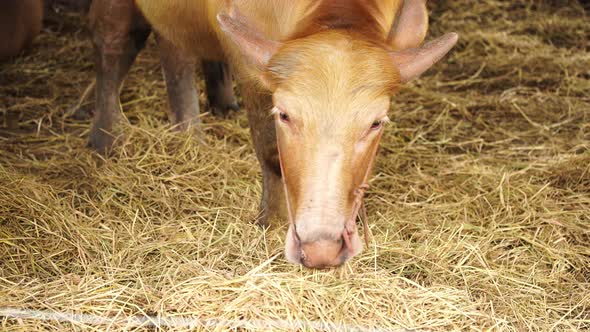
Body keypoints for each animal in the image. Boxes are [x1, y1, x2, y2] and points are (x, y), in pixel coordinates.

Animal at [91, 0, 462, 268]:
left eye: (376, 123)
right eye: (284, 114)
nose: (322, 250)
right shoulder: (249, 69)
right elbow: (269, 150)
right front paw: (272, 222)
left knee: (174, 46)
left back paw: (196, 127)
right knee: (114, 41)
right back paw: (106, 138)